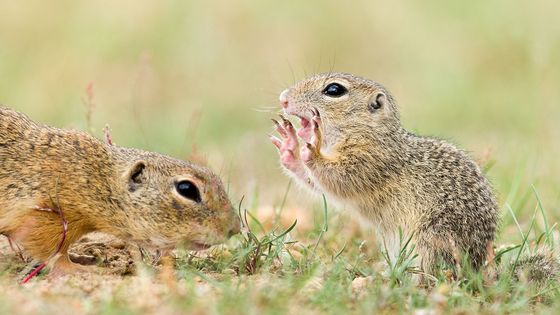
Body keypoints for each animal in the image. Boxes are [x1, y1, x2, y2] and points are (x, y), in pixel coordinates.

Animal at [0, 107, 241, 278]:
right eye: (187, 189)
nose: (235, 228)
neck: (99, 178)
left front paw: (85, 258)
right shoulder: (45, 218)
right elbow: (53, 254)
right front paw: (83, 268)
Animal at [270, 72, 552, 278]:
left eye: (334, 90)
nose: (283, 98)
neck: (370, 132)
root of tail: (477, 267)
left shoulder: (371, 160)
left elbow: (340, 178)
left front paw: (311, 150)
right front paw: (290, 149)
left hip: (430, 238)